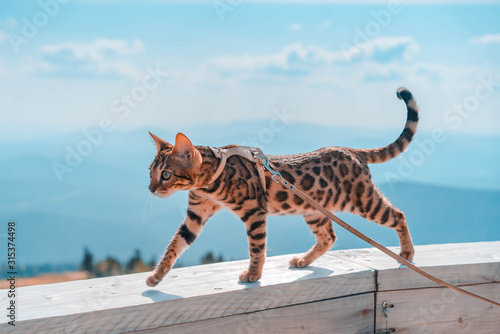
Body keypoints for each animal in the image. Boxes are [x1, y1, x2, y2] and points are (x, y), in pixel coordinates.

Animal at [145, 87, 418, 286]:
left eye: (166, 174)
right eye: (150, 172)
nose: (151, 189)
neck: (208, 184)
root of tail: (350, 150)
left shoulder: (254, 211)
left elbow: (256, 247)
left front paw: (253, 275)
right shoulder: (197, 213)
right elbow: (174, 245)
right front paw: (156, 276)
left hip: (363, 200)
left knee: (398, 214)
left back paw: (406, 253)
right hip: (313, 210)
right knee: (328, 237)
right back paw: (304, 261)